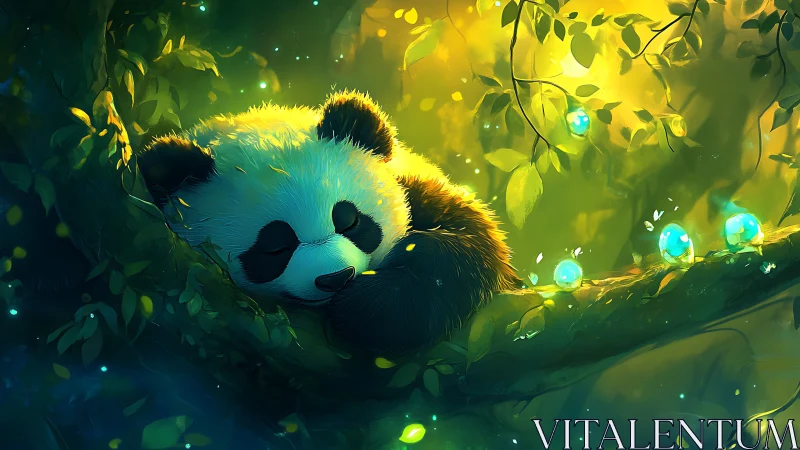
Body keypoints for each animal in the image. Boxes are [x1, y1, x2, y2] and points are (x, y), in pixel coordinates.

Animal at [138, 90, 521, 356]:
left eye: (349, 222)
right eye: (275, 247)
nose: (336, 278)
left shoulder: (417, 188)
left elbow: (469, 243)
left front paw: (369, 309)